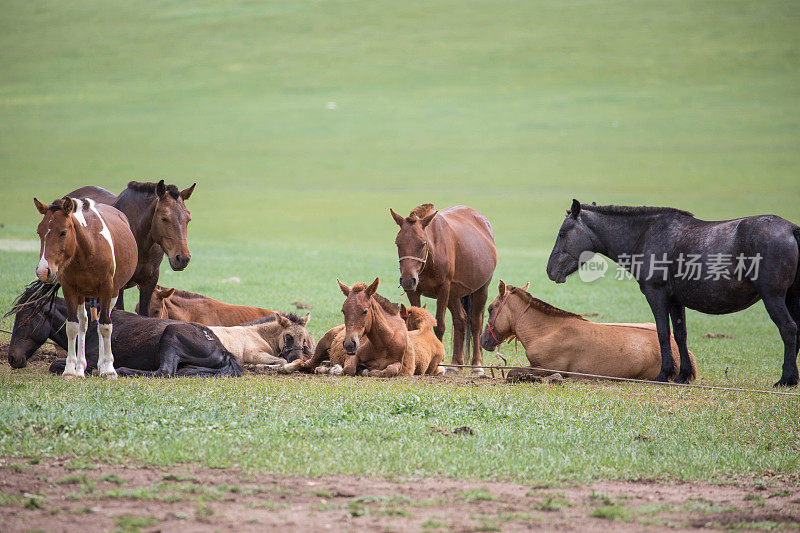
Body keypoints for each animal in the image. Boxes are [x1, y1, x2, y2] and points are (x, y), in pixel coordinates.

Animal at [33, 196, 138, 378]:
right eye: (39, 232)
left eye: (63, 232)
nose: (43, 271)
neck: (88, 250)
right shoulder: (69, 289)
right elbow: (72, 326)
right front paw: (70, 370)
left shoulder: (107, 289)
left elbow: (105, 326)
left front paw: (109, 369)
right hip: (82, 294)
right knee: (83, 322)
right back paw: (81, 367)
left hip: (113, 292)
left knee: (103, 321)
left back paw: (102, 366)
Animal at [388, 202, 494, 372]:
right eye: (398, 243)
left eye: (423, 243)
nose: (407, 280)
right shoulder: (414, 292)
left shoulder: (443, 289)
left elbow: (440, 326)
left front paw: (439, 362)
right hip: (454, 294)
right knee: (460, 320)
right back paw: (456, 364)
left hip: (481, 289)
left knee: (475, 323)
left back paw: (476, 365)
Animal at [544, 200, 800, 386]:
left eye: (563, 233)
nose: (550, 270)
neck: (645, 235)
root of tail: (792, 229)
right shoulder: (676, 301)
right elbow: (680, 334)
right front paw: (683, 375)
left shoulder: (656, 296)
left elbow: (663, 333)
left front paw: (664, 374)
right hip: (790, 297)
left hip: (773, 298)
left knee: (788, 329)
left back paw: (786, 379)